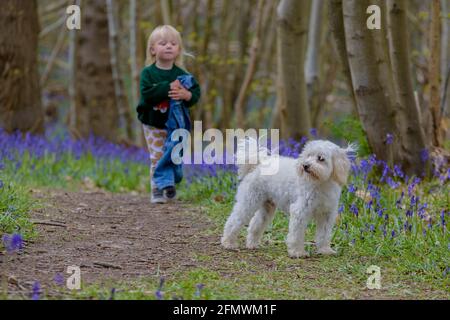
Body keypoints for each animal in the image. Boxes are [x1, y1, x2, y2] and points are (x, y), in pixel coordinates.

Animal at [221, 139, 356, 258]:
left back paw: (252, 244)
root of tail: (259, 164)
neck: (320, 183)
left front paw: (325, 250)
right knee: (233, 221)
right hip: (249, 202)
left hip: (267, 208)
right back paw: (228, 243)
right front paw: (297, 252)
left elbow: (324, 235)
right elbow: (296, 234)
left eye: (321, 158)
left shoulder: (327, 214)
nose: (305, 165)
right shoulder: (300, 211)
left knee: (255, 224)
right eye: (308, 155)